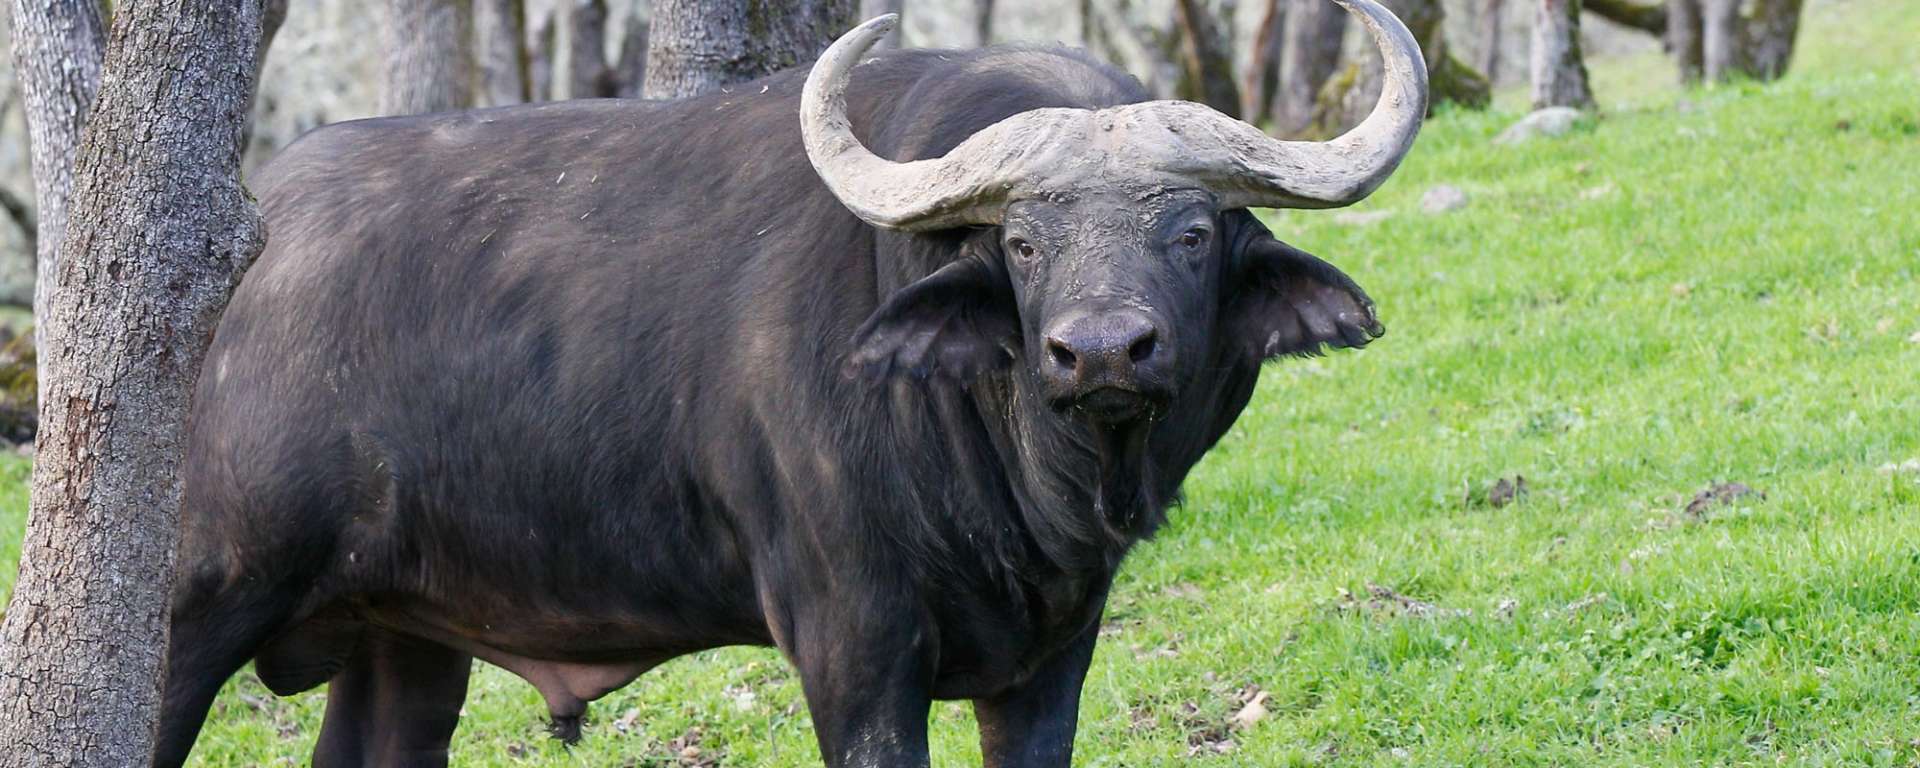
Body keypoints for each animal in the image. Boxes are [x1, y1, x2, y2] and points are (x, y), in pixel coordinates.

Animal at [155, 1, 1427, 765]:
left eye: (1193, 233)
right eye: (1023, 243)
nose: (1104, 351)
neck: (1020, 479)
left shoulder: (1053, 658)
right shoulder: (851, 644)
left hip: (406, 641)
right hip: (201, 602)